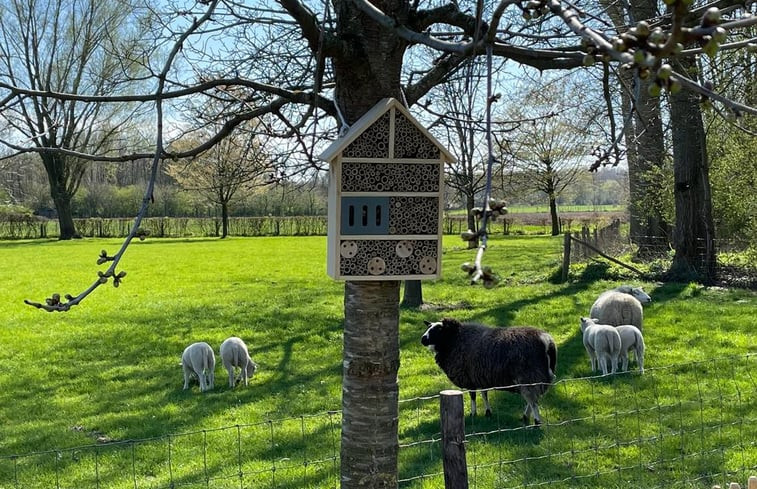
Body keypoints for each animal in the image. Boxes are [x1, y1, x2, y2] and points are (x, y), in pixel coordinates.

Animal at [420, 316, 556, 424]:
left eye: (438, 329)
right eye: (428, 327)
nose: (423, 339)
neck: (455, 340)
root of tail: (546, 340)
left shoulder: (469, 378)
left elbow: (473, 396)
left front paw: (473, 413)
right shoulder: (480, 376)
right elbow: (484, 394)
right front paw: (488, 412)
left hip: (529, 375)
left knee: (533, 400)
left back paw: (536, 422)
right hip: (539, 376)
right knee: (533, 398)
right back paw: (525, 417)